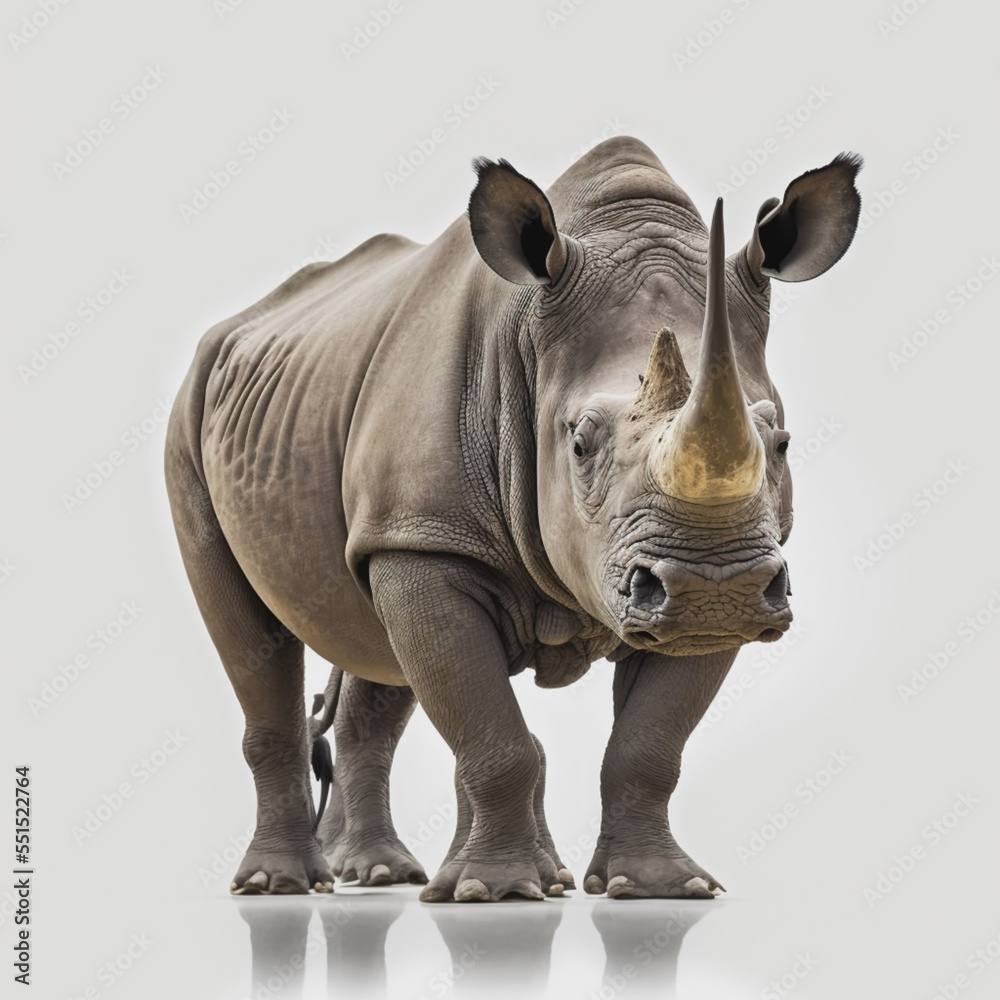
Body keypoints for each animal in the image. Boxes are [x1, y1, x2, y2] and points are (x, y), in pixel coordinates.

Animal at [165, 136, 861, 901]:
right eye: (580, 442)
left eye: (782, 442)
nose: (715, 586)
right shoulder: (426, 538)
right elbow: (493, 733)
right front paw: (493, 893)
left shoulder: (715, 584)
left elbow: (648, 742)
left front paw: (653, 887)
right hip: (191, 421)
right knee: (253, 636)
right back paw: (281, 885)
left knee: (377, 656)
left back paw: (385, 875)